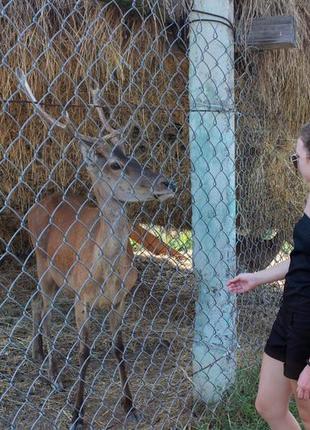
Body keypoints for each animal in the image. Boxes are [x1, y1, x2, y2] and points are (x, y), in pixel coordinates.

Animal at [16, 69, 177, 428]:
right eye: (115, 165)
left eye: (134, 156)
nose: (168, 182)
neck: (105, 273)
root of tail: (37, 204)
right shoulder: (82, 297)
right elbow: (84, 351)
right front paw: (77, 413)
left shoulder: (121, 298)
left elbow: (119, 347)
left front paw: (130, 405)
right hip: (43, 265)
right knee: (44, 310)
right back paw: (53, 374)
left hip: (55, 277)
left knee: (36, 305)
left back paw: (38, 354)